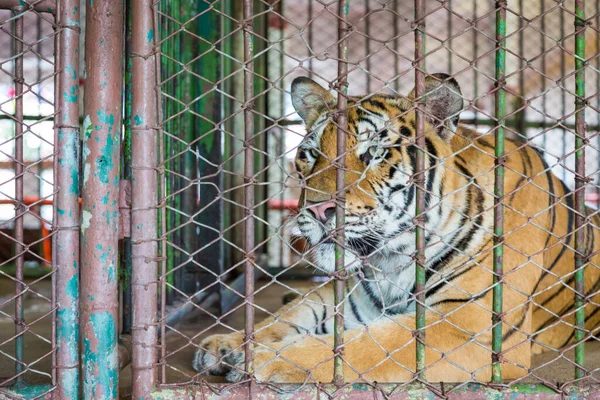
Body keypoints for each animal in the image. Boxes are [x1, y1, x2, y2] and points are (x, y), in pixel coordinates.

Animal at [192, 72, 600, 384]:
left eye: (373, 154)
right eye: (309, 155)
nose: (318, 209)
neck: (393, 259)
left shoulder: (469, 324)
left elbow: (366, 345)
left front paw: (263, 360)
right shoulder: (354, 296)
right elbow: (291, 315)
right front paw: (227, 345)